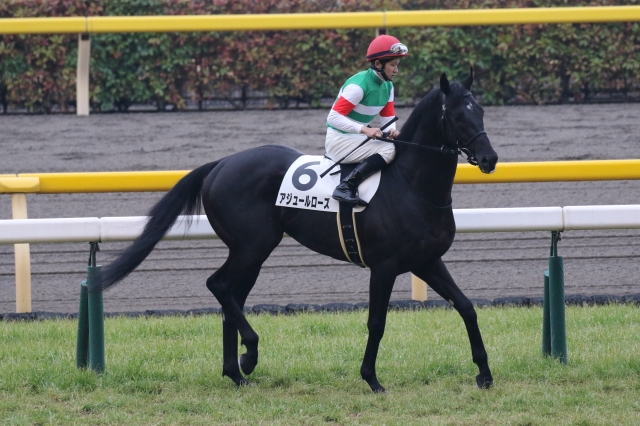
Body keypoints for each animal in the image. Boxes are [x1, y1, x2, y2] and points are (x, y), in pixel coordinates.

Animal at [94, 69, 498, 393]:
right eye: (458, 114)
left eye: (480, 110)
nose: (490, 158)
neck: (412, 186)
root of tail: (221, 163)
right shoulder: (384, 267)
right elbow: (377, 323)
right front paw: (371, 378)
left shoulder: (427, 261)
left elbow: (467, 308)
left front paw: (484, 373)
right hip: (254, 245)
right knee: (219, 285)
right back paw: (249, 356)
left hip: (248, 251)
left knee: (230, 297)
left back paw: (235, 371)